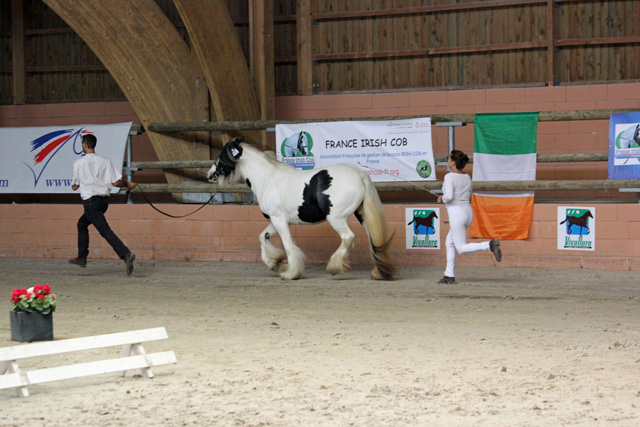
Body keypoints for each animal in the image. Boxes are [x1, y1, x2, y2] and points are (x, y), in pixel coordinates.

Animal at [208, 139, 396, 282]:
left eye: (220, 157)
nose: (209, 175)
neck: (267, 178)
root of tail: (359, 174)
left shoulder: (279, 219)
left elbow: (288, 244)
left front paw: (290, 273)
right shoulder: (276, 220)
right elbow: (263, 237)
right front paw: (273, 262)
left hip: (337, 218)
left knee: (348, 237)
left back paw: (334, 267)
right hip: (362, 216)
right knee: (375, 240)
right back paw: (378, 273)